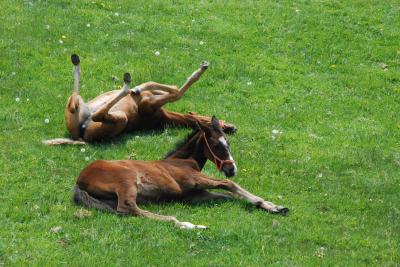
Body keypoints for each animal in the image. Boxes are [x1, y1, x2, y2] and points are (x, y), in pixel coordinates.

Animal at [44, 55, 238, 147]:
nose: (232, 127)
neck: (163, 118)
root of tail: (80, 138)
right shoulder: (150, 99)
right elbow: (169, 88)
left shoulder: (148, 104)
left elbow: (176, 92)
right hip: (81, 108)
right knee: (74, 99)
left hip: (120, 119)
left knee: (95, 113)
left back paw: (125, 84)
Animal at [74, 116, 288, 229]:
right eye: (216, 145)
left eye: (228, 143)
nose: (232, 169)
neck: (184, 161)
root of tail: (79, 181)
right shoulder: (194, 180)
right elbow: (229, 185)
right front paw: (273, 206)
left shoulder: (196, 194)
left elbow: (228, 196)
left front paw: (271, 206)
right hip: (126, 180)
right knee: (127, 207)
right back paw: (186, 224)